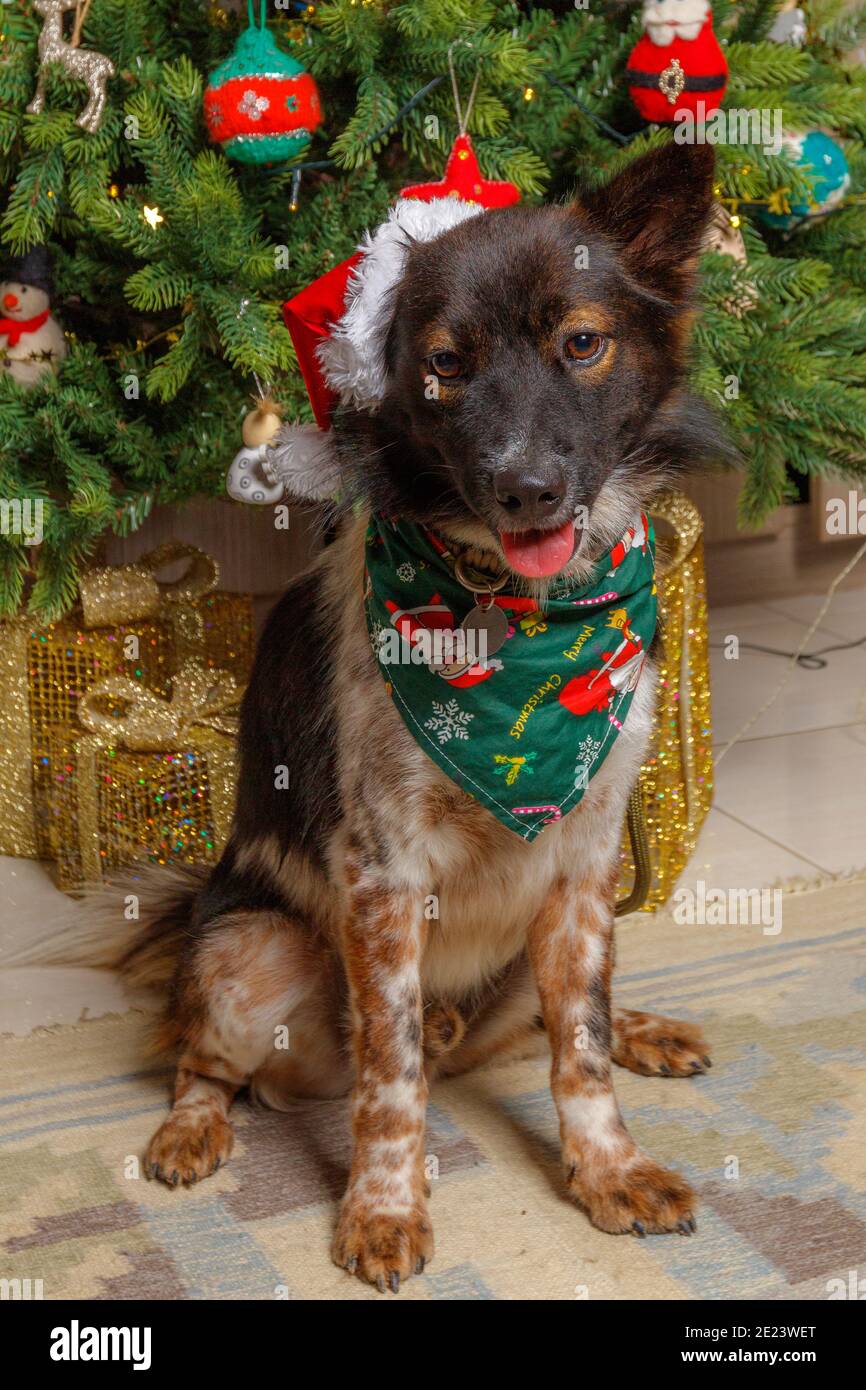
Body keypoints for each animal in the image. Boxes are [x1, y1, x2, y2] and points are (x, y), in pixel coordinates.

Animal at [122, 141, 728, 1289]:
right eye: (445, 365)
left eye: (582, 343)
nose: (526, 489)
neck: (519, 620)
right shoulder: (383, 872)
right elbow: (390, 1071)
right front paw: (384, 1205)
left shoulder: (585, 861)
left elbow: (578, 1045)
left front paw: (608, 1167)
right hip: (250, 955)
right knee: (200, 1057)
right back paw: (189, 1129)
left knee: (543, 1026)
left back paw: (646, 1029)